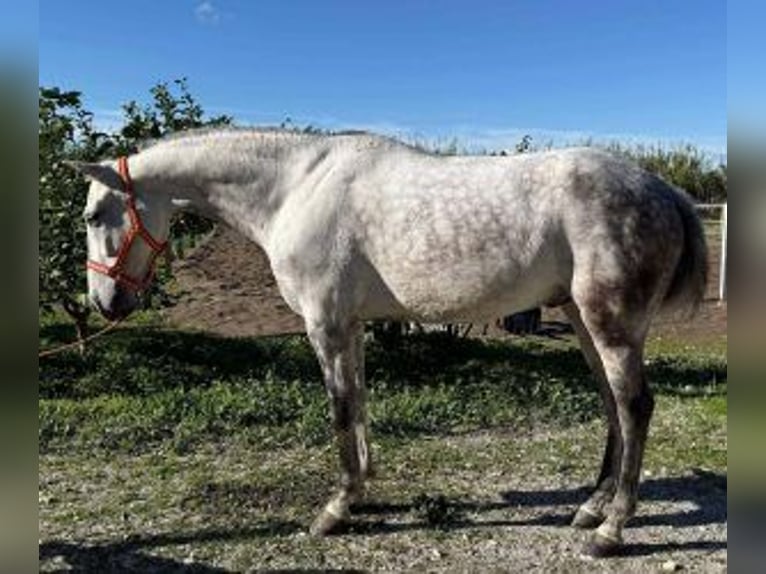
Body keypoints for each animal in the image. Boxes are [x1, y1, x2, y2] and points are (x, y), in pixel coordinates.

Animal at [69, 127, 707, 558]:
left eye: (96, 214)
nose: (105, 303)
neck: (294, 187)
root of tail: (665, 189)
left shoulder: (324, 324)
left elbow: (339, 408)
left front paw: (334, 509)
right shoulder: (349, 326)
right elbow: (359, 402)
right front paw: (363, 489)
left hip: (609, 324)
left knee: (635, 406)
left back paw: (612, 528)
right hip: (582, 320)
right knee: (612, 407)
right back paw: (590, 508)